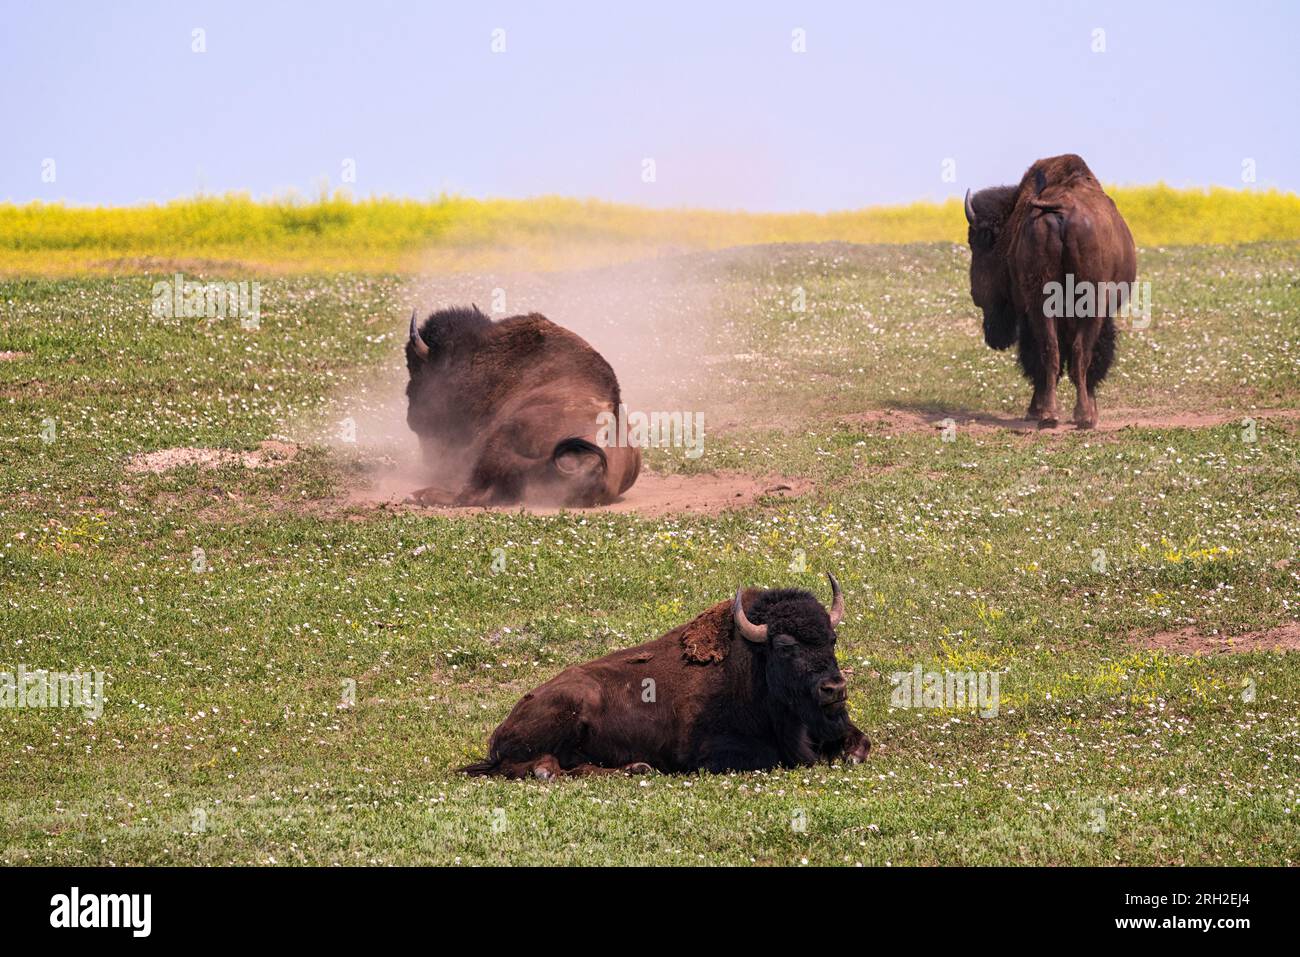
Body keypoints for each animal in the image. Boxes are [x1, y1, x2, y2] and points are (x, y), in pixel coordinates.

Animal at [405, 306, 640, 506]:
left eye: (417, 371)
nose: (412, 418)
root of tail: (592, 466)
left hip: (502, 438)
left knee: (472, 493)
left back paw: (419, 495)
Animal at [461, 574, 871, 778]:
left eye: (832, 638)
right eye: (785, 646)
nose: (834, 688)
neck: (755, 665)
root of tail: (501, 727)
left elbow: (860, 742)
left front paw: (849, 756)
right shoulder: (713, 753)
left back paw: (636, 768)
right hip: (569, 708)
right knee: (531, 766)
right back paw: (552, 771)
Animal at [965, 154, 1137, 429]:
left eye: (977, 244)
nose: (974, 292)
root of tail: (1062, 210)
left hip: (1047, 305)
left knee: (1056, 352)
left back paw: (1053, 415)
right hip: (1078, 306)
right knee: (1072, 354)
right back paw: (1078, 416)